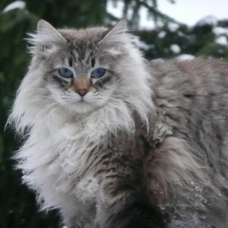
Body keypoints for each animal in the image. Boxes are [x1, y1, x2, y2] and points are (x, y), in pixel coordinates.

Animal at [7, 18, 228, 227]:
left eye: (98, 72)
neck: (80, 127)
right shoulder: (80, 207)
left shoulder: (128, 191)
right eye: (65, 72)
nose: (82, 91)